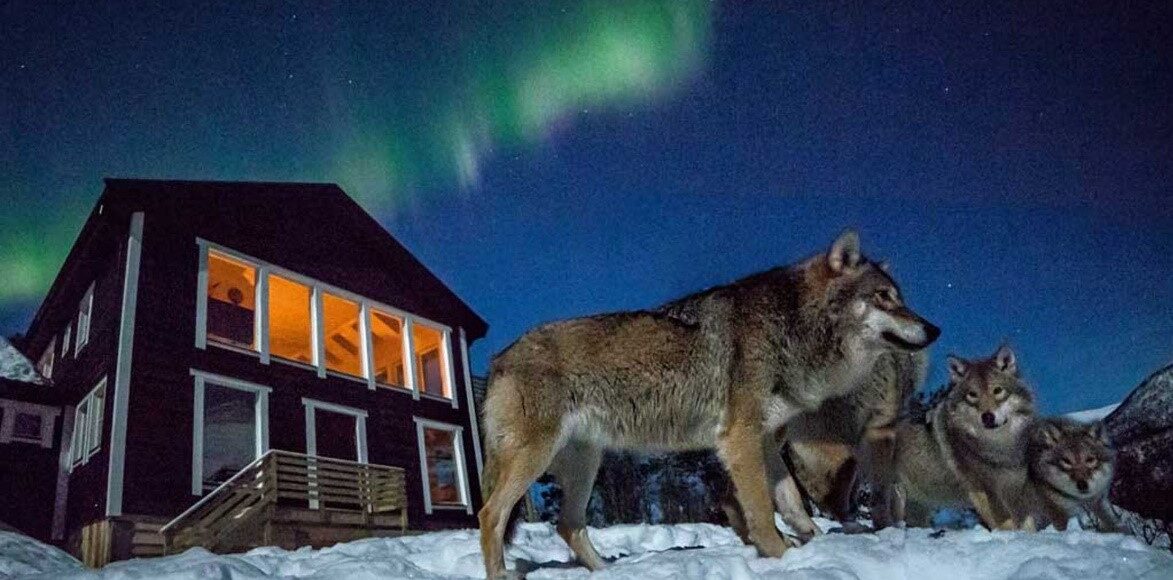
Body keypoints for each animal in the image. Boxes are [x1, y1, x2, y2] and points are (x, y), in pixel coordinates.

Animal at [478, 231, 940, 578]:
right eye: (883, 297)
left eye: (899, 297)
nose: (933, 329)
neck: (793, 326)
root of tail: (499, 359)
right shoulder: (739, 440)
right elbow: (761, 511)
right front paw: (781, 556)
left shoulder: (767, 441)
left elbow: (791, 501)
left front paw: (813, 546)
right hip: (535, 458)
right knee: (490, 515)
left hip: (585, 464)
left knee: (568, 525)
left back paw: (609, 572)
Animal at [893, 345, 1036, 530]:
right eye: (972, 394)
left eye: (997, 390)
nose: (987, 417)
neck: (999, 447)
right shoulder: (984, 491)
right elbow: (1006, 525)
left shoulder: (1016, 489)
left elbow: (1028, 525)